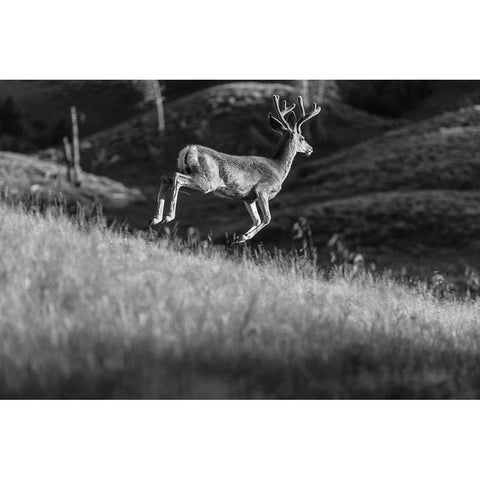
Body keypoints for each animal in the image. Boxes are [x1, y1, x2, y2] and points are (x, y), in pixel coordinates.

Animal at [149, 94, 322, 244]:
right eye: (302, 138)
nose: (311, 149)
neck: (278, 167)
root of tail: (189, 149)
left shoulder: (248, 197)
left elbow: (256, 219)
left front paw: (240, 238)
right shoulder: (262, 190)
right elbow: (267, 218)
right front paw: (244, 236)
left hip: (194, 182)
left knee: (167, 179)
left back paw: (155, 218)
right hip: (207, 181)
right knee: (177, 177)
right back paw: (168, 216)